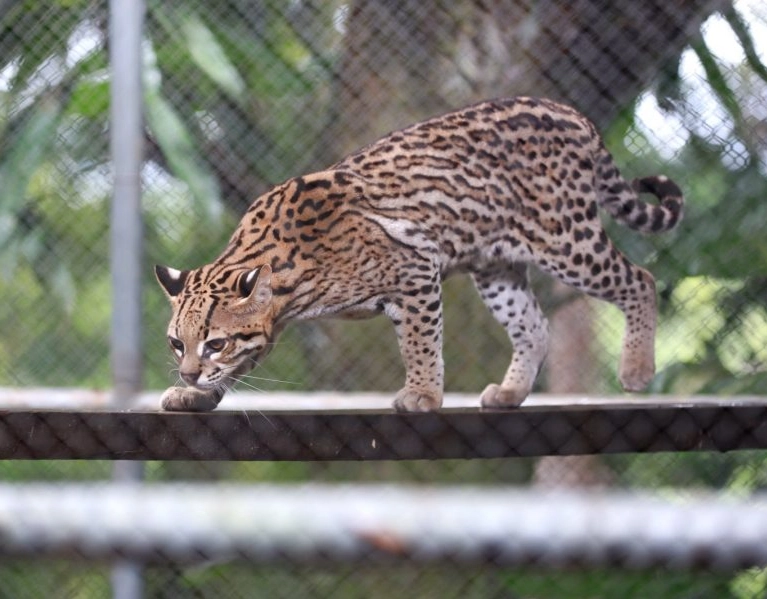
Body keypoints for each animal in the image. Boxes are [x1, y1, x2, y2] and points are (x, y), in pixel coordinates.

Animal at [156, 97, 684, 412]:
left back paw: (637, 369)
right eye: (177, 344)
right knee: (534, 326)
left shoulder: (415, 273)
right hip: (495, 267)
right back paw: (511, 391)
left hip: (566, 240)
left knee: (639, 279)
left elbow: (419, 343)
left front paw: (424, 394)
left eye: (215, 343)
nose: (186, 371)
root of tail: (572, 113)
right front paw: (195, 394)